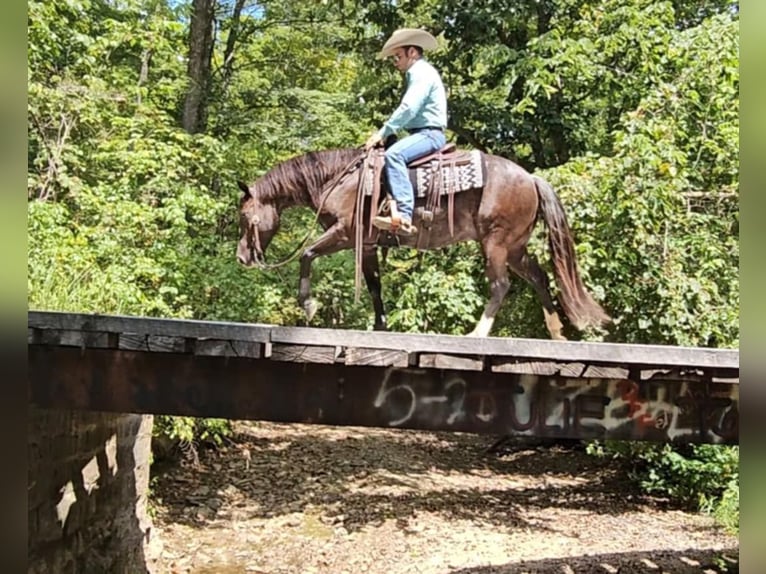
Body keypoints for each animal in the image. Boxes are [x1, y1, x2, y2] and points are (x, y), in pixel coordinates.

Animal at [236, 146, 610, 339]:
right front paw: (380, 326)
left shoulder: (344, 233)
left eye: (243, 216)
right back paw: (557, 332)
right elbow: (374, 285)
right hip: (515, 248)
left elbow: (307, 253)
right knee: (539, 277)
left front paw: (308, 304)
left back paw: (477, 334)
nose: (242, 257)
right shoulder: (367, 245)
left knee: (501, 285)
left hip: (496, 244)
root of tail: (531, 178)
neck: (340, 180)